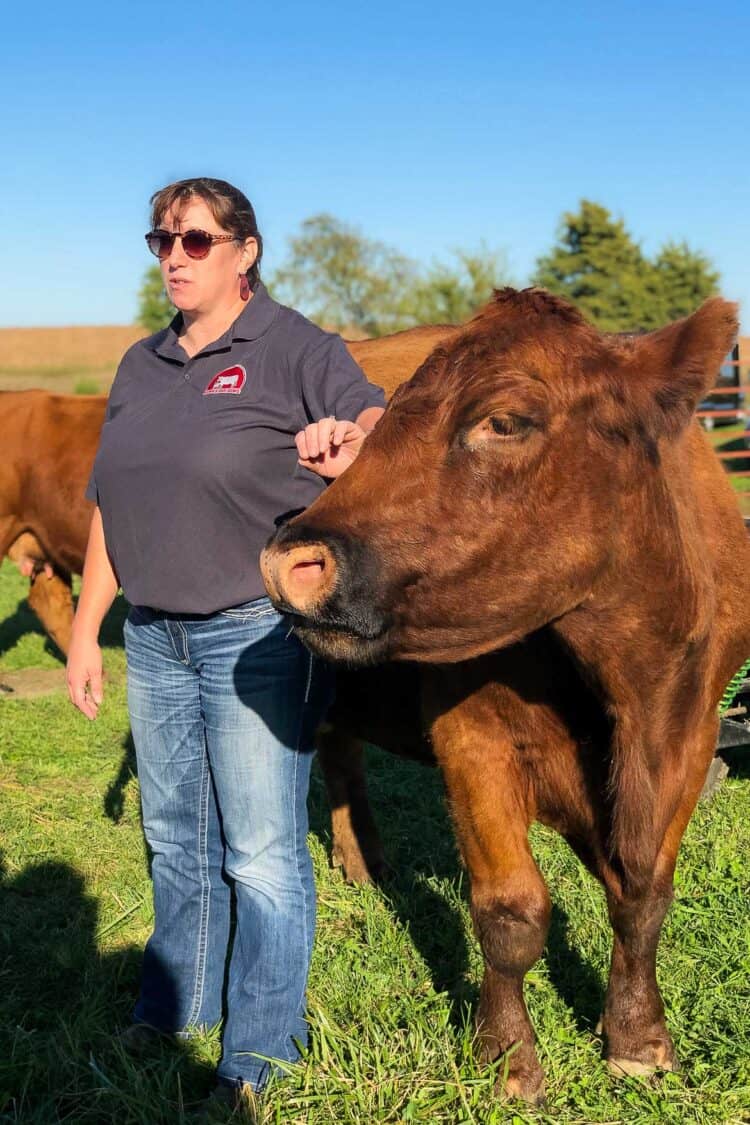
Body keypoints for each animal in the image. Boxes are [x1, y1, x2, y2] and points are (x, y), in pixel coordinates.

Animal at [263, 288, 750, 1098]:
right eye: (391, 412)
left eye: (506, 420)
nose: (290, 560)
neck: (626, 687)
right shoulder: (473, 736)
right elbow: (511, 912)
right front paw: (508, 1058)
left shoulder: (692, 735)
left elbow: (645, 894)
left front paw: (640, 1039)